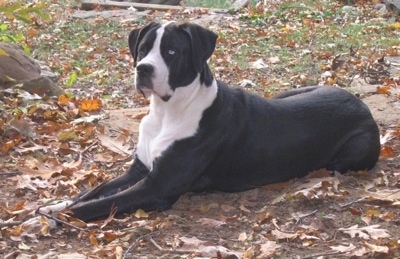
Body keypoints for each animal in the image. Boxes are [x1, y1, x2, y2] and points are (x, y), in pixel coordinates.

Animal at [41, 21, 382, 222]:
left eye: (172, 51)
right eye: (143, 49)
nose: (143, 69)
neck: (167, 112)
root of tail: (362, 104)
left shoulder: (156, 186)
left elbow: (97, 204)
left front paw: (60, 217)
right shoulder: (138, 170)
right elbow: (93, 191)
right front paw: (53, 205)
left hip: (353, 153)